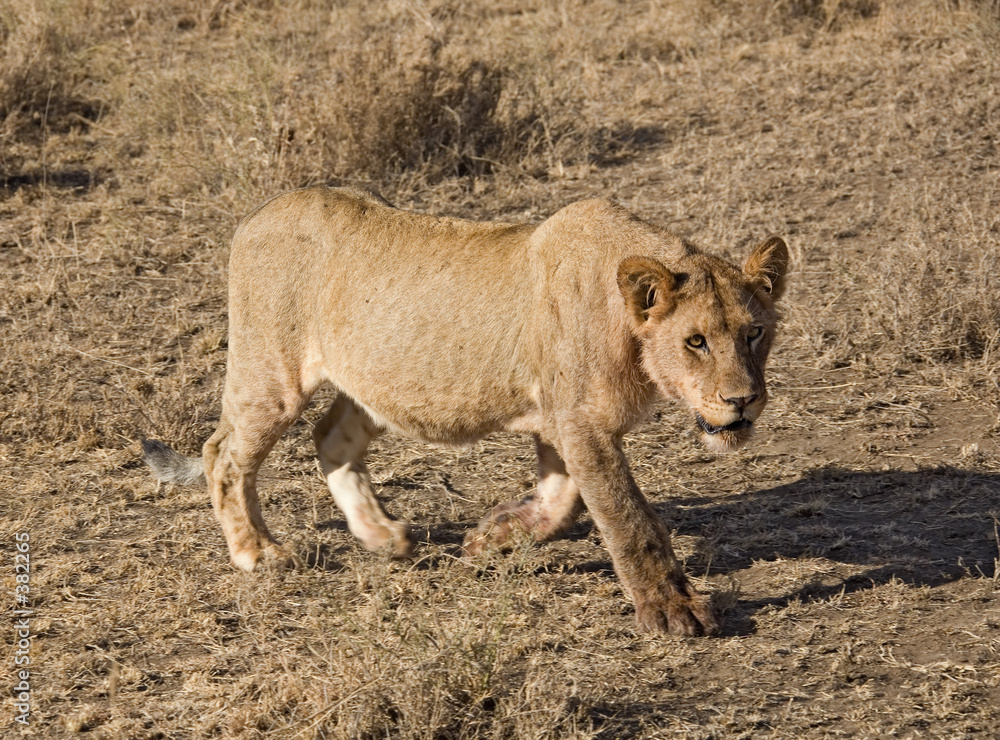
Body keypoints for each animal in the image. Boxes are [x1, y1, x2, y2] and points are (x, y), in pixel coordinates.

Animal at [143, 186, 788, 637]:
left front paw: (491, 537)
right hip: (271, 375)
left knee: (330, 438)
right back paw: (257, 552)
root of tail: (256, 215)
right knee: (223, 454)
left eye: (754, 333)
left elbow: (559, 499)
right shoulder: (581, 421)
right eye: (696, 341)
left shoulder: (559, 419)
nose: (742, 399)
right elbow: (629, 519)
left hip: (371, 381)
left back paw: (383, 536)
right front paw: (674, 610)